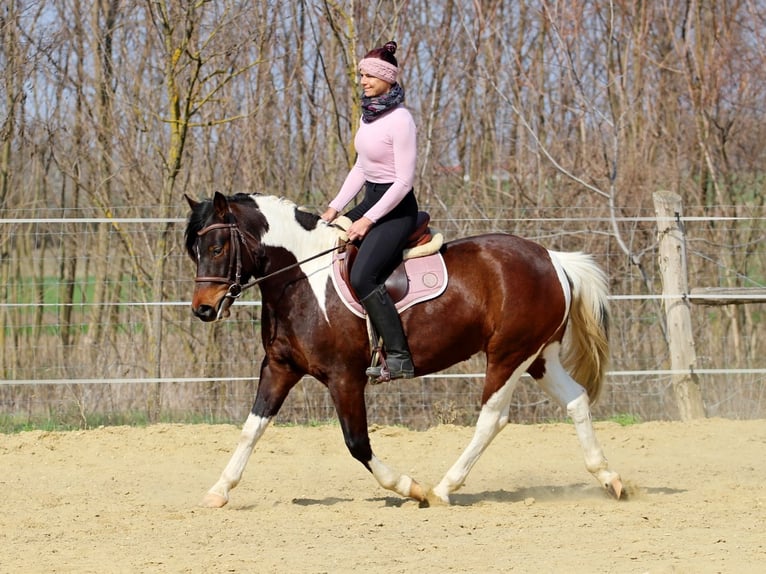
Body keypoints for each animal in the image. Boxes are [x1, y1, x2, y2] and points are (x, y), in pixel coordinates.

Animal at [184, 191, 623, 507]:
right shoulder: (279, 367)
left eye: (218, 247)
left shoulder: (344, 378)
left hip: (508, 355)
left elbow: (357, 443)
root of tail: (552, 258)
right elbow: (251, 429)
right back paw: (611, 479)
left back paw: (442, 489)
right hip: (539, 356)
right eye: (195, 250)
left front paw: (409, 487)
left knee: (492, 419)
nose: (203, 309)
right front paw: (219, 490)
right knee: (576, 400)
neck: (303, 277)